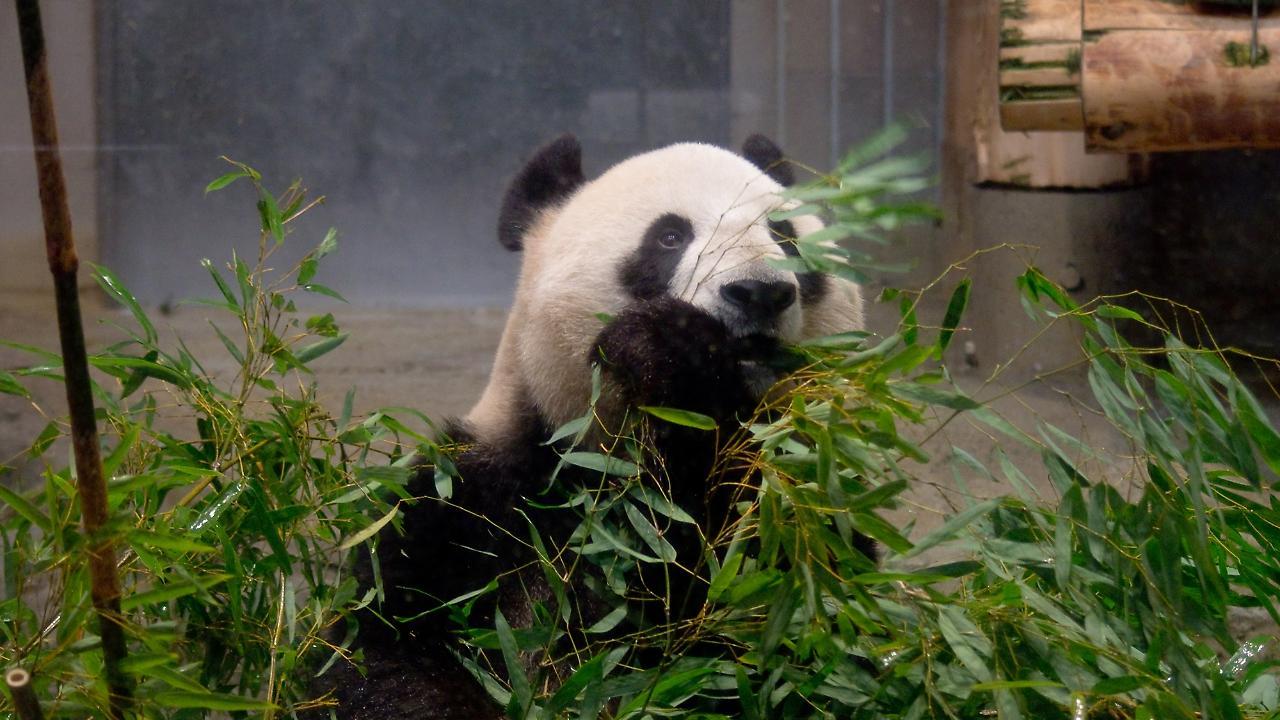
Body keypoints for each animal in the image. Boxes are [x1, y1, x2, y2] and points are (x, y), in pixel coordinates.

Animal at [322, 134, 870, 717]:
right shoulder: (481, 499)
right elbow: (386, 649)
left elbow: (795, 623)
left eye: (785, 236)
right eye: (669, 237)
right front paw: (672, 345)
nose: (759, 292)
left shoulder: (804, 502)